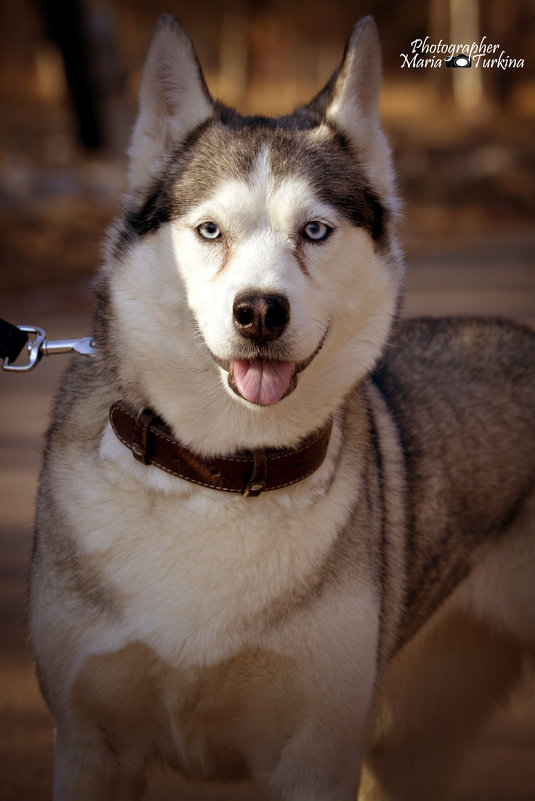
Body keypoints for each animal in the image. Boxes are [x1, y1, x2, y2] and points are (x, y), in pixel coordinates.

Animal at [30, 14, 535, 800]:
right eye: (210, 231)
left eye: (315, 231)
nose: (261, 311)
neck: (218, 472)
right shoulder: (90, 744)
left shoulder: (316, 751)